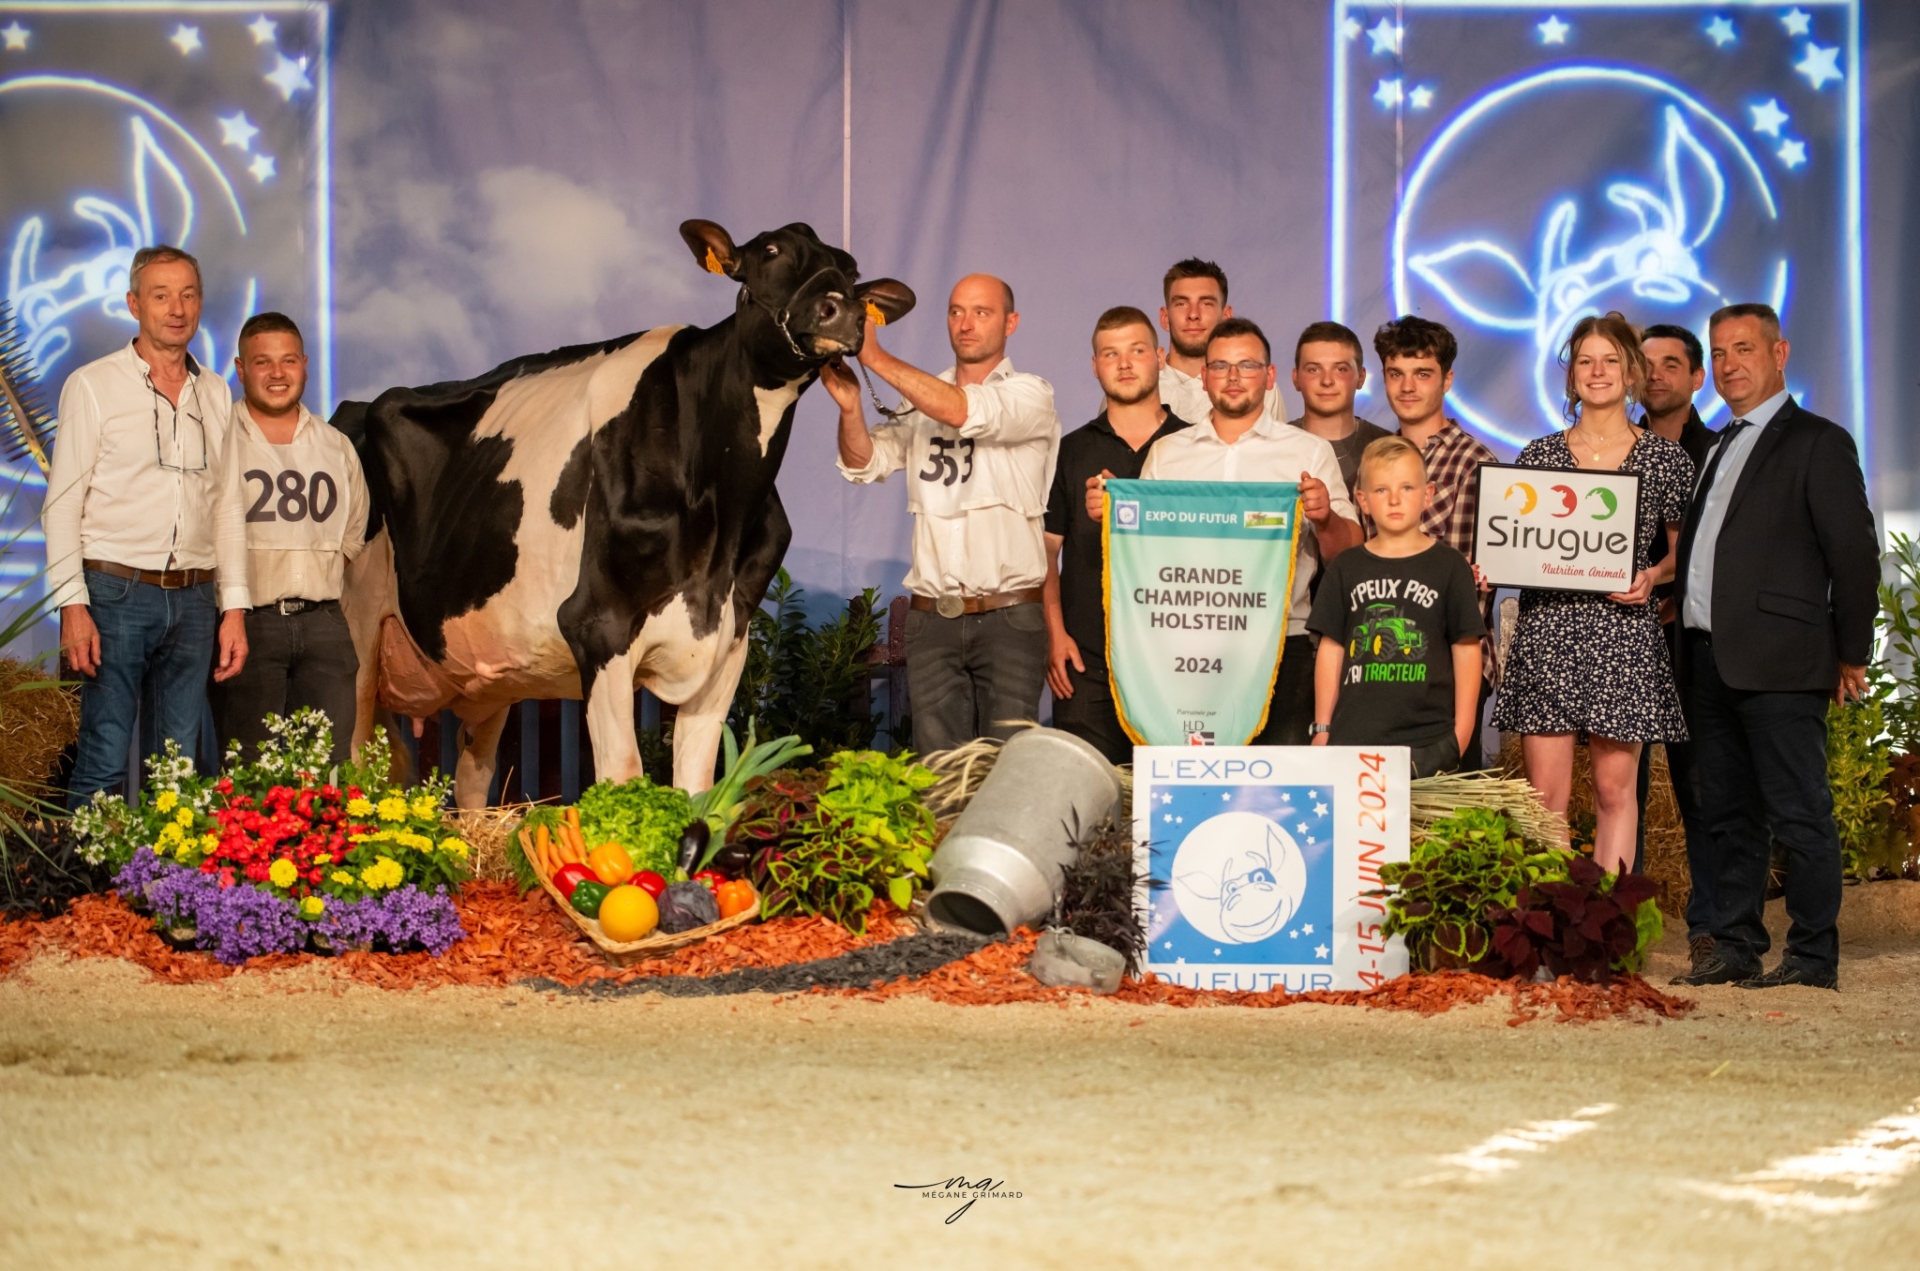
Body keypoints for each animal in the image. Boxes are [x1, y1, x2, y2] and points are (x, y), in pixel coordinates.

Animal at [332, 218, 913, 806]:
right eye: (770, 250)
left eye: (852, 270)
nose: (842, 312)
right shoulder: (596, 625)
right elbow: (624, 771)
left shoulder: (730, 640)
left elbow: (698, 785)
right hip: (355, 642)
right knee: (351, 758)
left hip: (487, 674)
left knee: (473, 781)